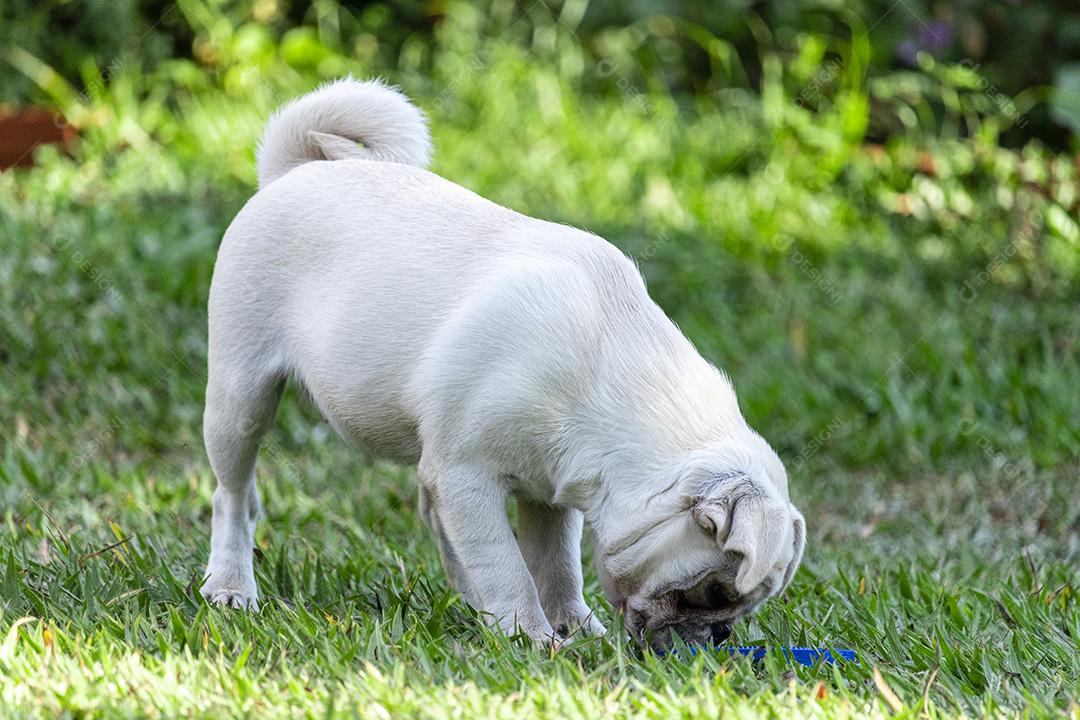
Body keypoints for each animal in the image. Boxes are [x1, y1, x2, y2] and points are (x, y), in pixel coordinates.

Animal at [203, 77, 803, 647]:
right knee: (233, 496)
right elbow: (506, 563)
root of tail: (295, 170)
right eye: (714, 592)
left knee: (431, 518)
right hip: (240, 397)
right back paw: (230, 585)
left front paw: (571, 626)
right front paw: (529, 633)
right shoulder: (465, 476)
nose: (721, 635)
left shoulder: (550, 492)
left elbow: (555, 565)